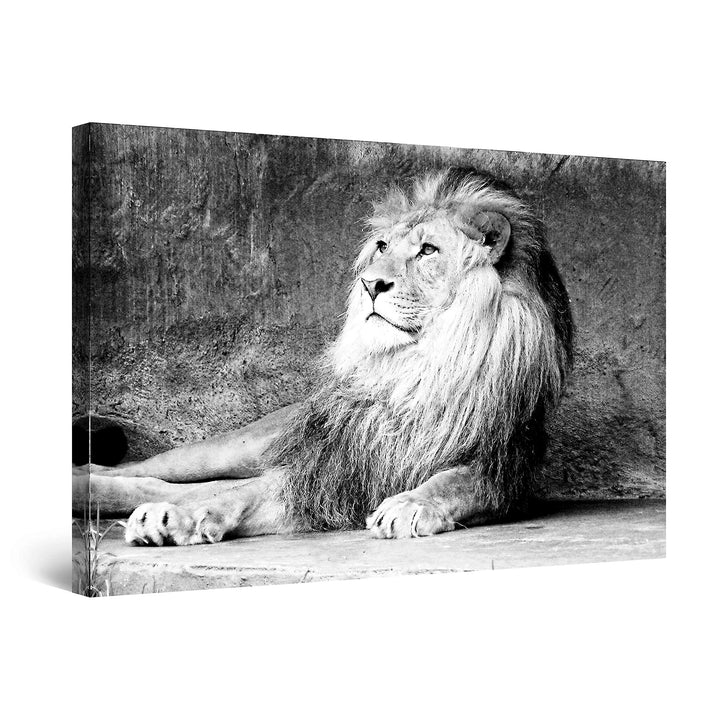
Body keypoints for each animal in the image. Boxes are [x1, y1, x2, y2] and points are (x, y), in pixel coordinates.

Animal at [74, 166, 573, 545]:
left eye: (428, 250)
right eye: (383, 247)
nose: (371, 284)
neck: (412, 367)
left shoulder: (501, 470)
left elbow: (451, 482)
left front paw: (410, 504)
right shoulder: (326, 467)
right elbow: (236, 497)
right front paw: (168, 521)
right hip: (249, 444)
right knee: (157, 473)